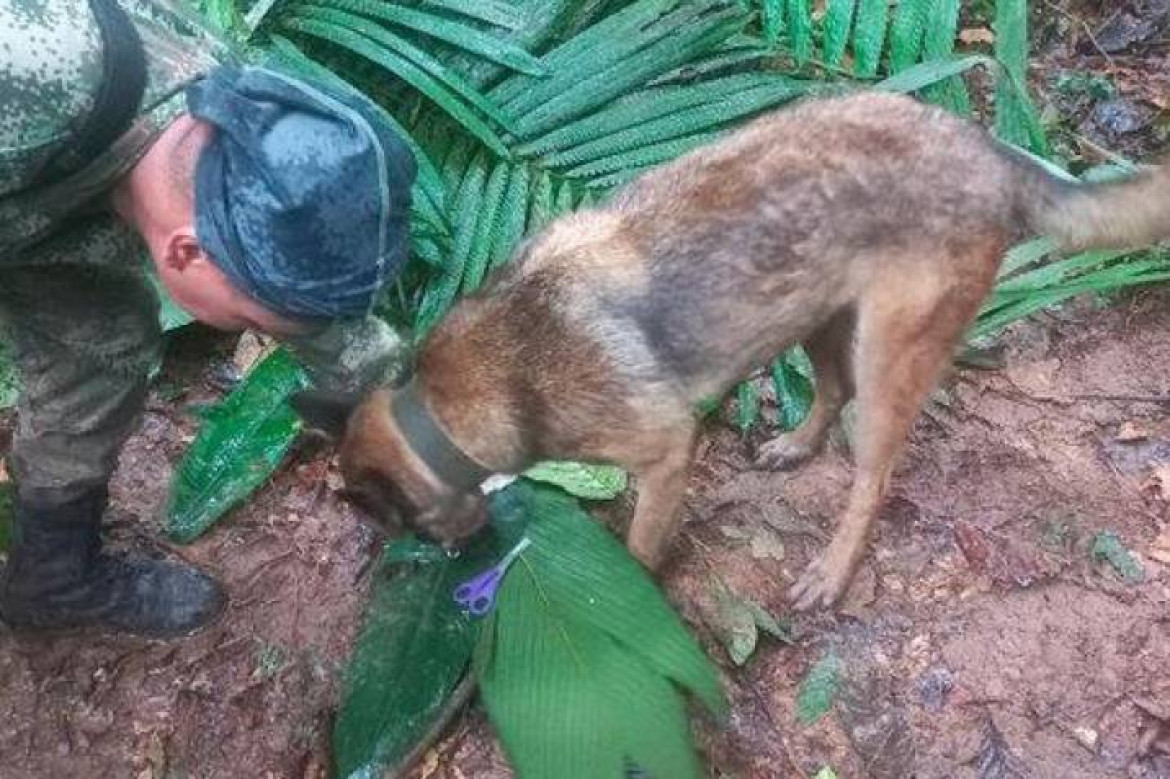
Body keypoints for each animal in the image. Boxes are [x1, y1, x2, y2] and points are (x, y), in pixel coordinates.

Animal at [294, 91, 1170, 608]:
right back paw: (795, 444)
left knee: (873, 473)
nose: (452, 555)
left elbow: (640, 547)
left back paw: (832, 569)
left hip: (889, 355)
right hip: (813, 310)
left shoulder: (664, 453)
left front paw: (631, 595)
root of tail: (990, 151)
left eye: (406, 527)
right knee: (831, 389)